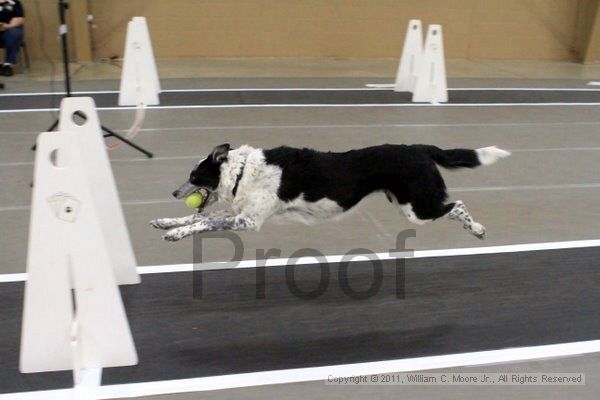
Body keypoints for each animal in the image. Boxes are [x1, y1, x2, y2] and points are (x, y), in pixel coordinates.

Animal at [151, 145, 510, 242]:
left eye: (193, 176)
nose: (173, 191)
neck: (240, 170)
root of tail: (419, 149)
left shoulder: (248, 221)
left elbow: (204, 222)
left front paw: (177, 233)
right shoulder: (237, 211)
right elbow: (198, 217)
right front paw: (166, 222)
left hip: (416, 209)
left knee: (458, 205)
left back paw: (477, 229)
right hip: (409, 205)